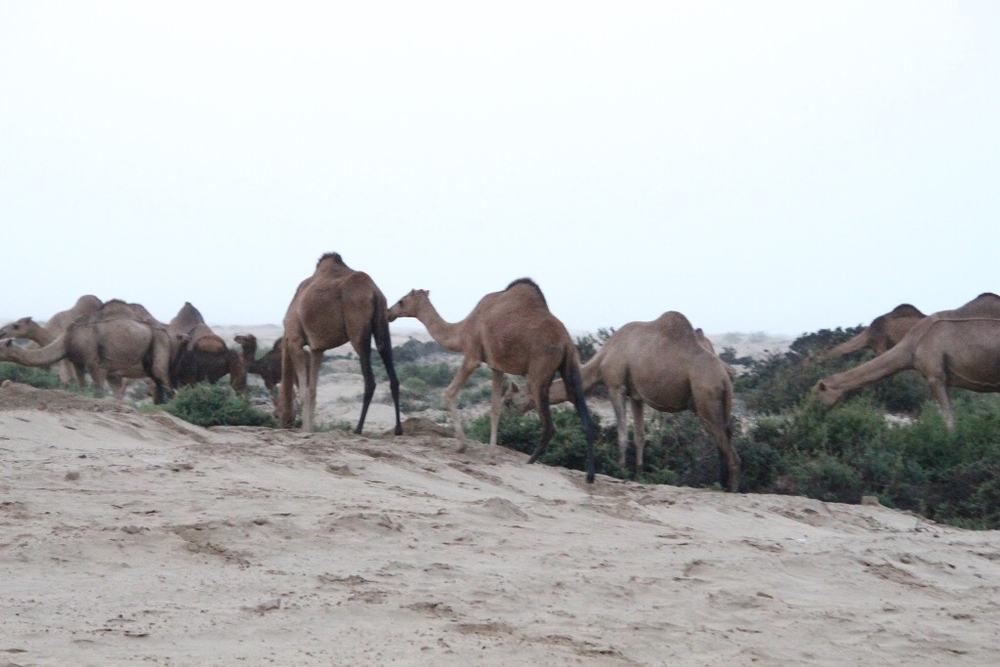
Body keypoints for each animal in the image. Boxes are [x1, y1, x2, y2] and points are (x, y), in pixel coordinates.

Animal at [0, 302, 174, 404]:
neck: (66, 340)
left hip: (160, 352)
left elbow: (99, 392)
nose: (2, 331)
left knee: (167, 387)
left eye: (16, 325)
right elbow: (82, 388)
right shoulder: (78, 363)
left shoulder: (95, 365)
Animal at [278, 253, 402, 436]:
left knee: (370, 381)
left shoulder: (295, 340)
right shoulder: (317, 348)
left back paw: (358, 429)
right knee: (392, 373)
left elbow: (304, 390)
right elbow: (312, 389)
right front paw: (310, 429)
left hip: (357, 330)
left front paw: (305, 430)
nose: (285, 422)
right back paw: (399, 429)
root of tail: (374, 292)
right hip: (384, 324)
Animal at [388, 280, 592, 482]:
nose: (389, 313)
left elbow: (449, 392)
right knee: (581, 407)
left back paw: (530, 461)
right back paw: (589, 475)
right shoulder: (497, 366)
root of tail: (566, 341)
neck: (461, 329)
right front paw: (492, 455)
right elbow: (495, 408)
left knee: (549, 423)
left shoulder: (472, 356)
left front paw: (461, 446)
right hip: (571, 365)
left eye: (401, 300)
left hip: (539, 369)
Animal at [508, 312, 736, 490]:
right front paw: (639, 473)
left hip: (705, 399)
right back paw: (723, 484)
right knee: (725, 438)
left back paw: (729, 488)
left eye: (511, 398)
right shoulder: (637, 396)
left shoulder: (615, 387)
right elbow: (640, 436)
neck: (604, 357)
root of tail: (725, 377)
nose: (511, 416)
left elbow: (622, 433)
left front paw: (619, 471)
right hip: (717, 403)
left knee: (726, 445)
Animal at [812, 294, 1000, 430]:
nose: (812, 414)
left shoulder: (935, 376)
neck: (913, 344)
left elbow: (948, 421)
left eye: (817, 394)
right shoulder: (945, 379)